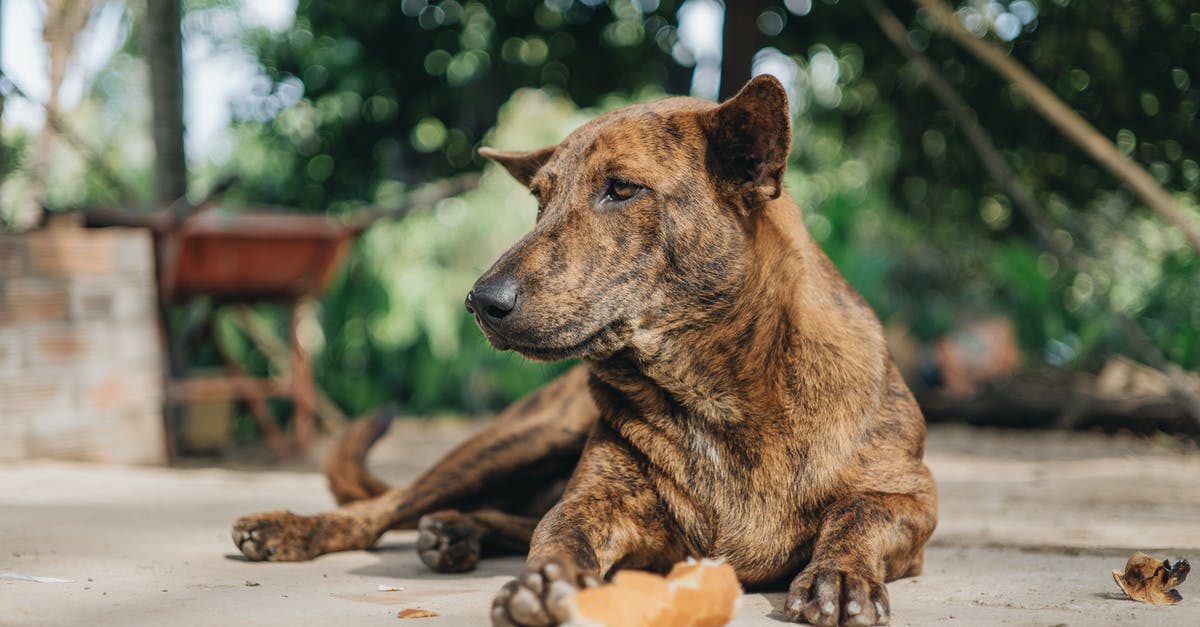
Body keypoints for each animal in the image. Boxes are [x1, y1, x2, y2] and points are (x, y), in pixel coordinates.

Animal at [229, 75, 931, 619]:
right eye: (539, 200)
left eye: (621, 189)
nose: (480, 301)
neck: (718, 393)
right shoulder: (598, 503)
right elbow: (559, 530)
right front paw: (547, 584)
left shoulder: (912, 501)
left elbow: (857, 517)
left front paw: (840, 574)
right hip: (521, 437)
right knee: (389, 505)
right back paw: (293, 528)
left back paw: (457, 530)